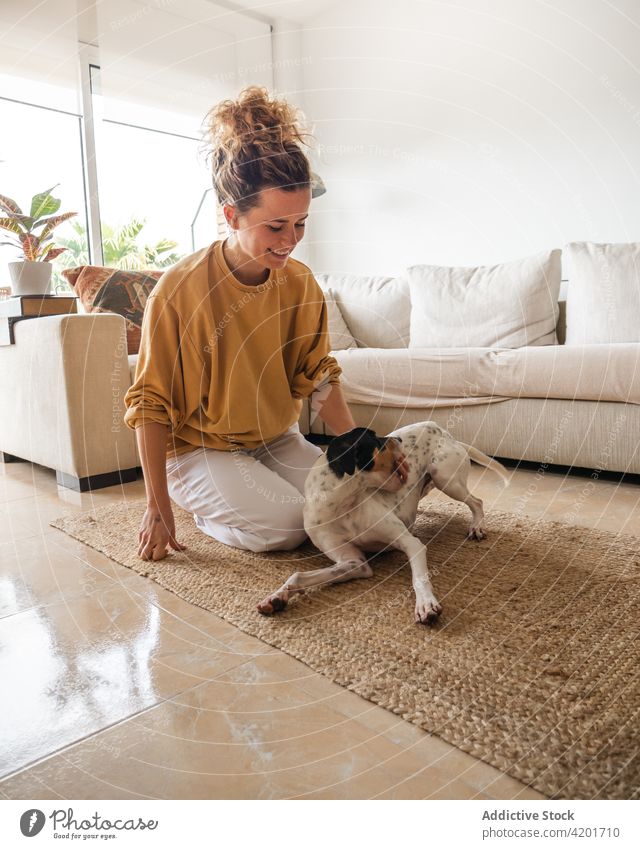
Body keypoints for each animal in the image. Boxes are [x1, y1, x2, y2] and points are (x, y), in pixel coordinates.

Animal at [256, 422, 510, 624]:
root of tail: (441, 429)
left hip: (445, 477)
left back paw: (476, 526)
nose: (397, 439)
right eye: (376, 438)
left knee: (476, 502)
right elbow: (298, 575)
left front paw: (426, 604)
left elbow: (419, 578)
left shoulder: (411, 544)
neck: (343, 506)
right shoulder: (354, 563)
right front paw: (277, 597)